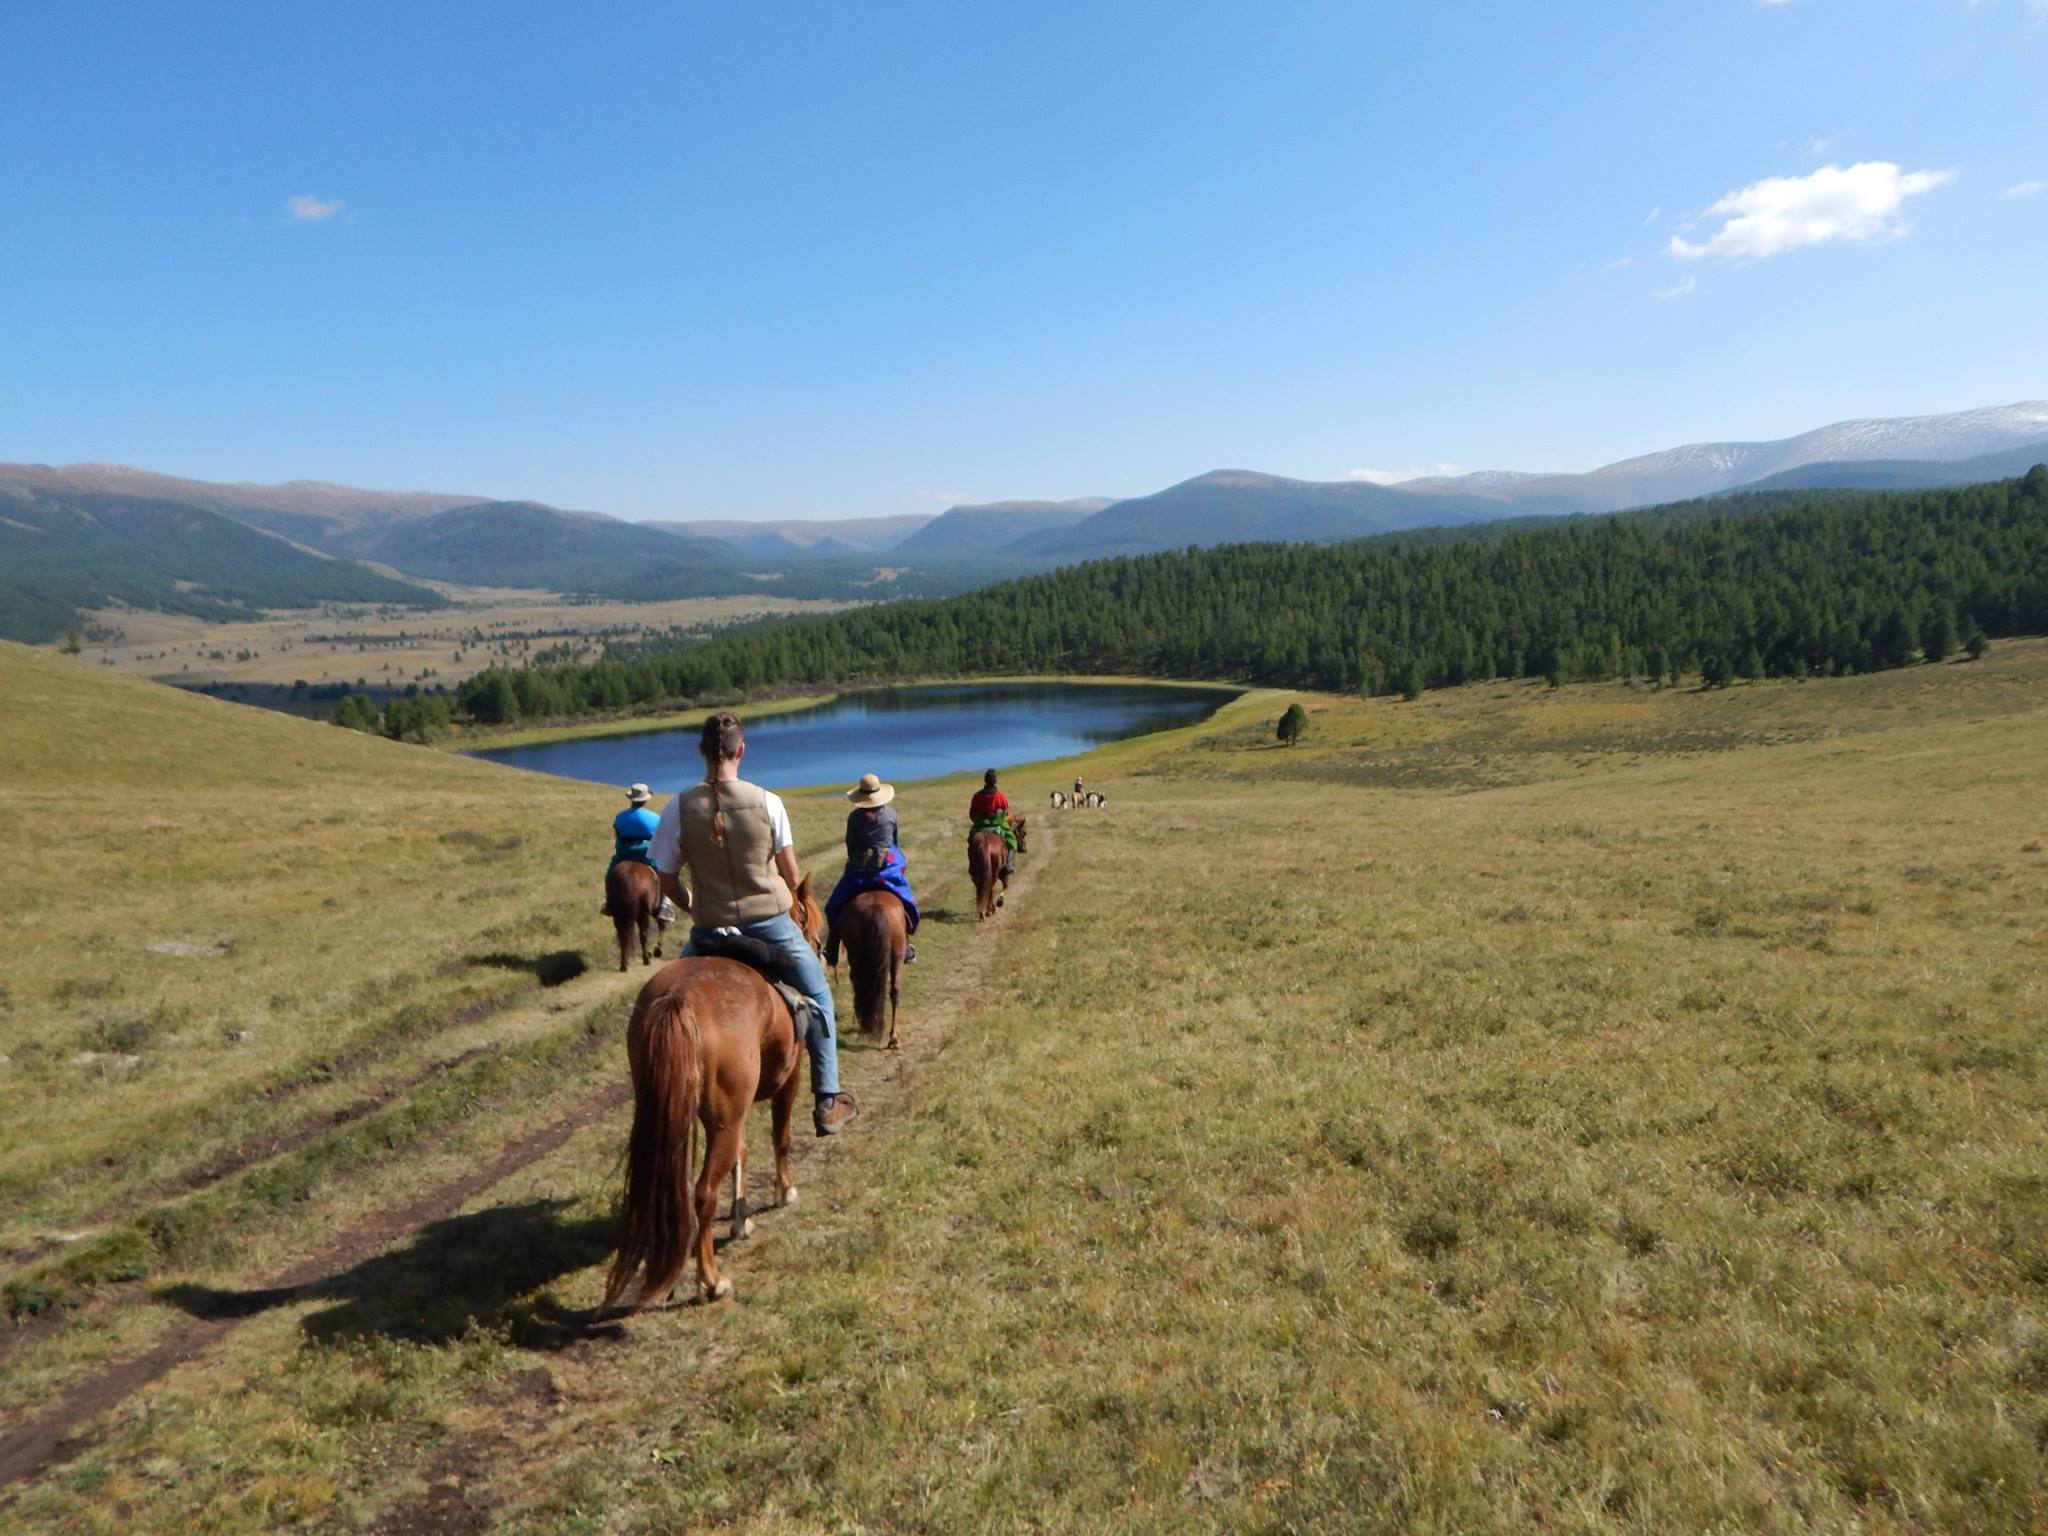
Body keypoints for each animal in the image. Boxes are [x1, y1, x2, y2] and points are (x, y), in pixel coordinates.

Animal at [603, 877, 821, 1307]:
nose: (822, 947)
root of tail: (679, 998)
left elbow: (741, 1154)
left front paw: (741, 1220)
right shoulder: (789, 1078)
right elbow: (781, 1137)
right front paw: (784, 1191)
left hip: (683, 1109)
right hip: (725, 1117)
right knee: (703, 1193)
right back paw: (712, 1281)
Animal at [838, 889, 907, 1050]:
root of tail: (875, 907)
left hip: (856, 955)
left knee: (862, 987)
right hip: (897, 953)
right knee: (893, 990)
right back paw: (892, 1037)